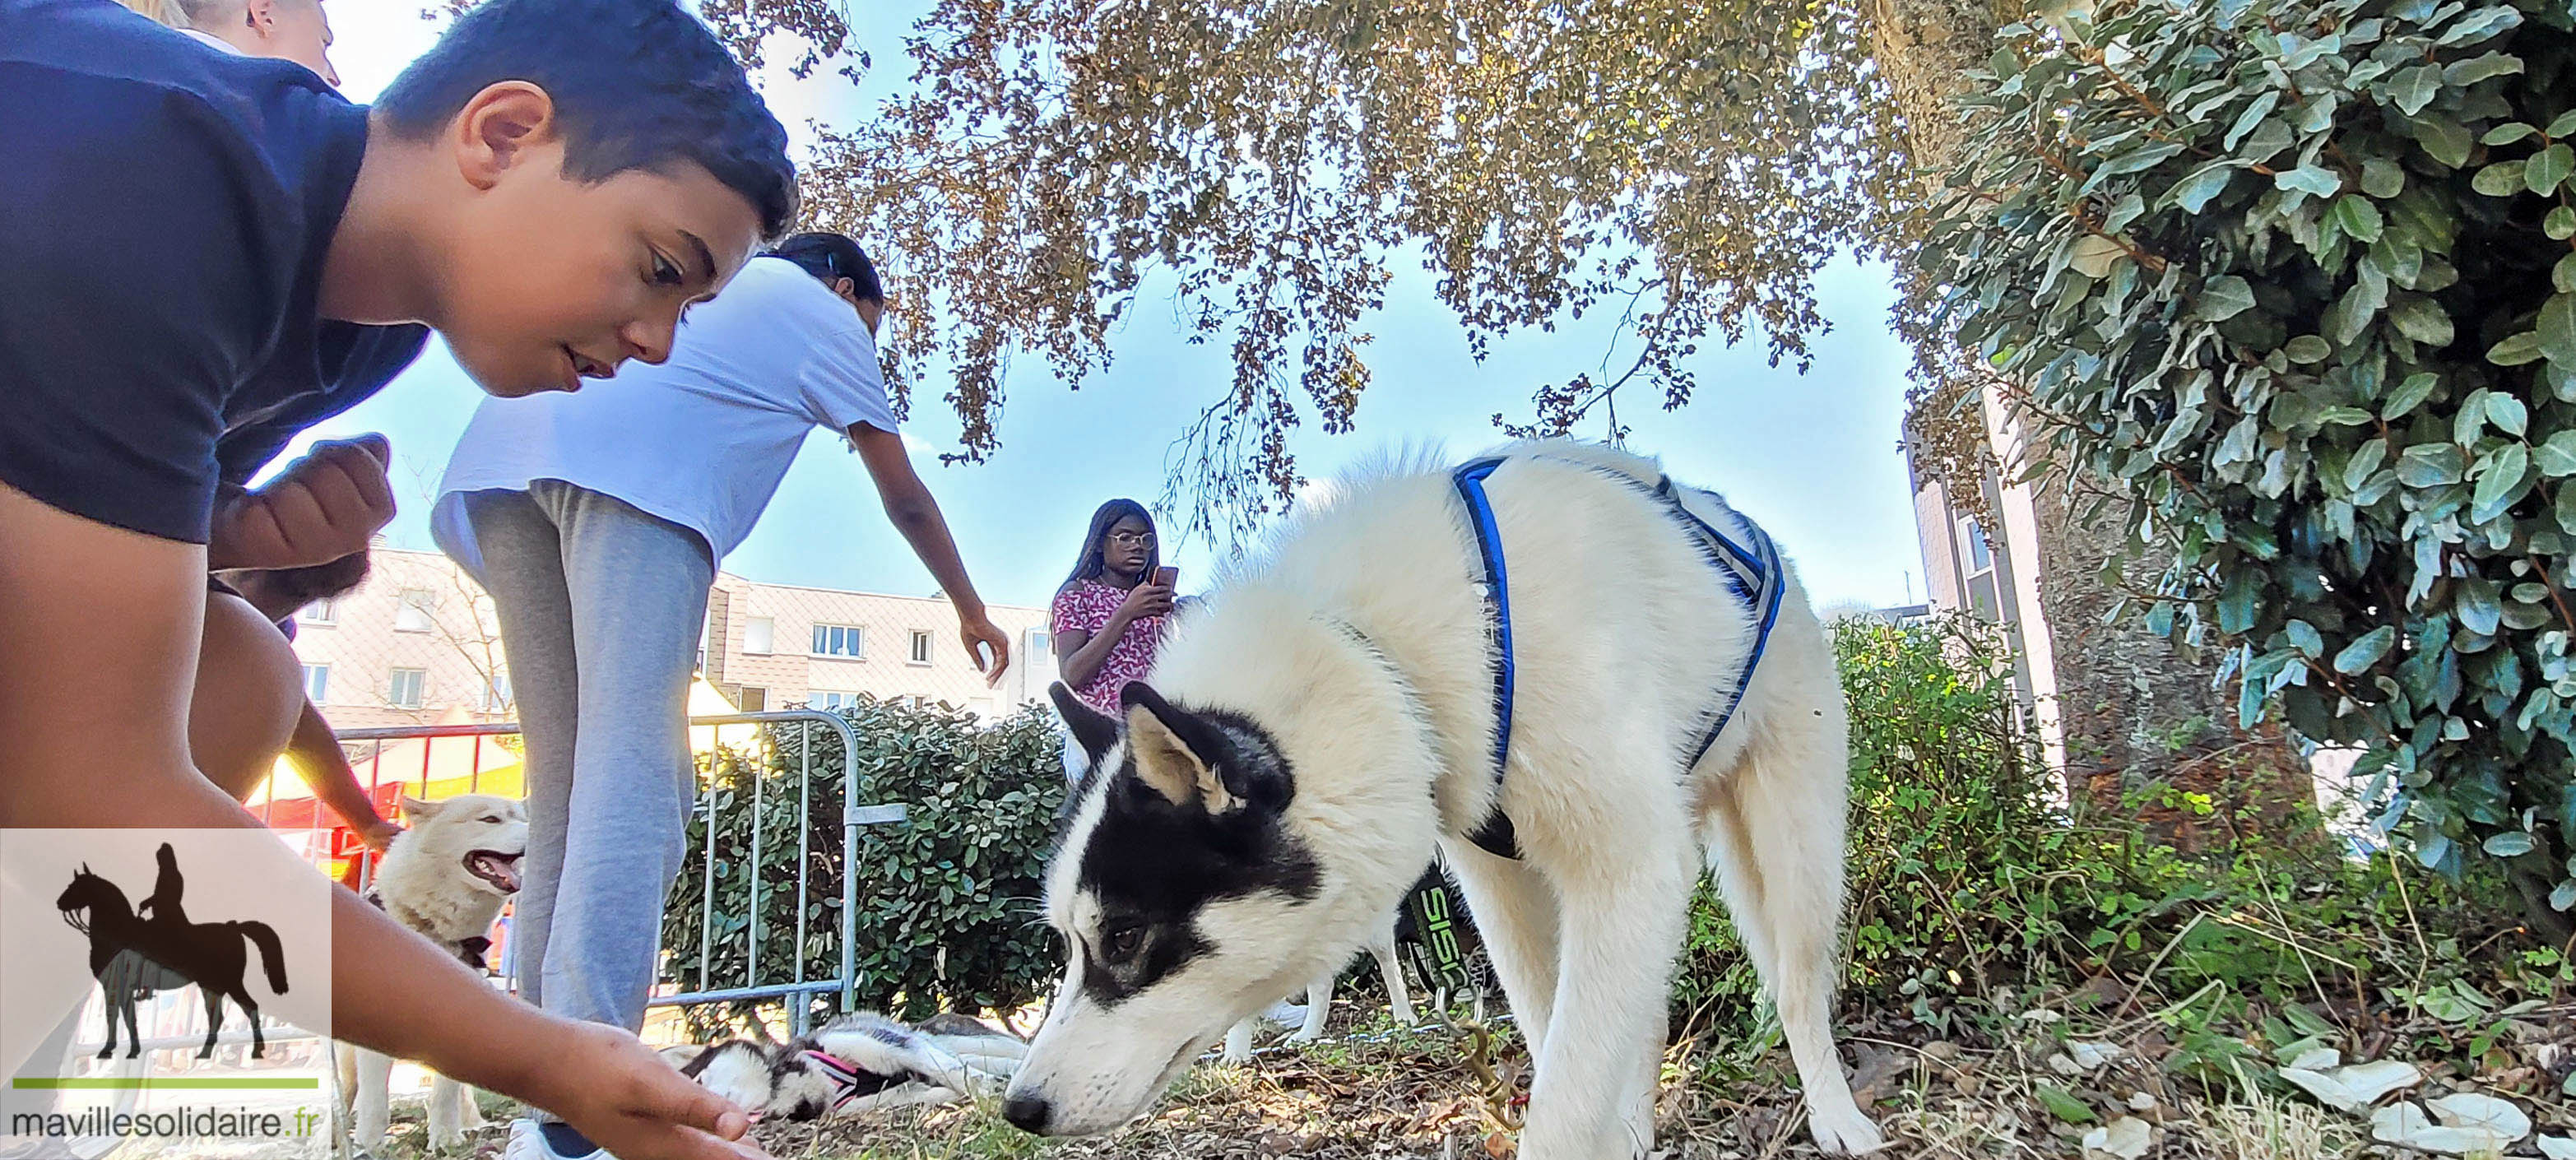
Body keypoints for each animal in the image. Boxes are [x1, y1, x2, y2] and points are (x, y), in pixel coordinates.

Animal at [337, 794, 527, 1154]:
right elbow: (374, 1100)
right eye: (490, 819)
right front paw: (369, 1145)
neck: (436, 928)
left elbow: (445, 1094)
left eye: (524, 818)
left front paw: (446, 1139)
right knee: (347, 1093)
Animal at [670, 1010, 1030, 1118]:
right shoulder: (863, 1102)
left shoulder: (885, 1043)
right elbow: (929, 1089)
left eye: (696, 1081)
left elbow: (952, 1072)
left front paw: (985, 1091)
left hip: (965, 1040)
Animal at [1010, 440, 1896, 1154]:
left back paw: (1834, 1117)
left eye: (1126, 936)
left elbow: (1566, 1102)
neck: (1388, 657)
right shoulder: (1504, 885)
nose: (1020, 1109)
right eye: (1072, 942)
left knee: (1793, 988)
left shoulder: (1627, 869)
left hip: (1793, 848)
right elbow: (1556, 1040)